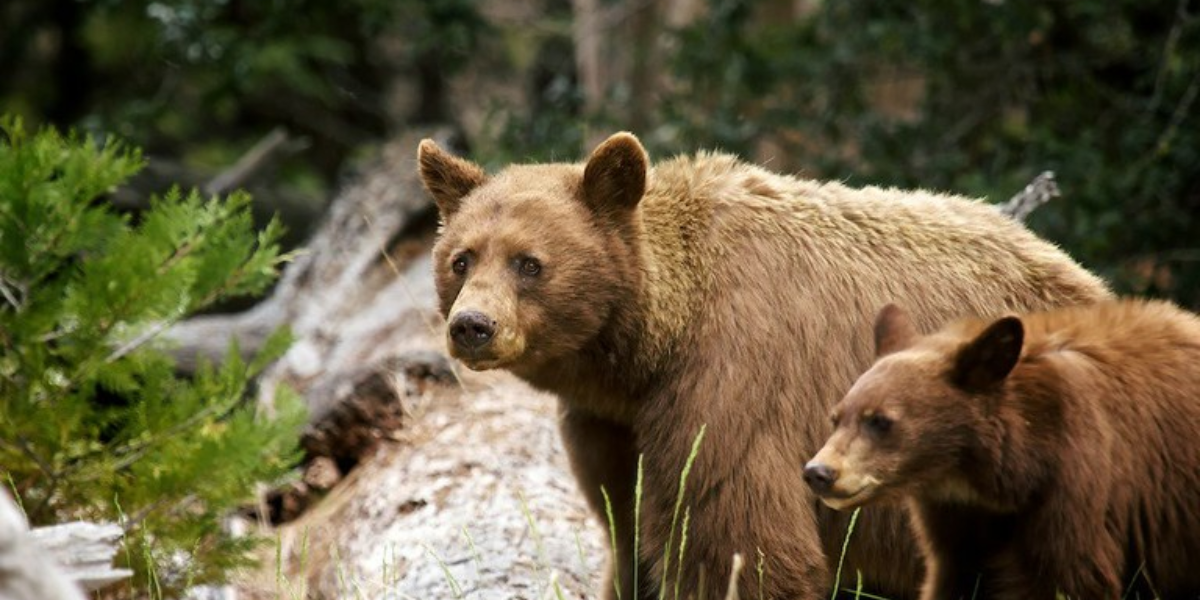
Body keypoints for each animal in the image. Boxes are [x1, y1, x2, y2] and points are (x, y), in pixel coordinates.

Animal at [417, 132, 1108, 600]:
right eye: (461, 258)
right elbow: (629, 530)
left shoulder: (734, 378)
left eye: (529, 263)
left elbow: (739, 539)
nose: (472, 326)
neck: (648, 351)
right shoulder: (611, 426)